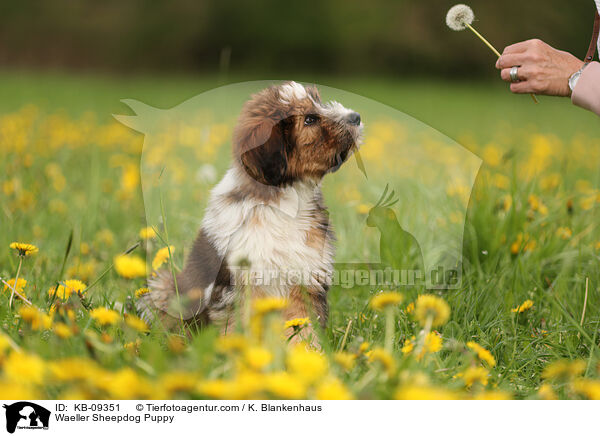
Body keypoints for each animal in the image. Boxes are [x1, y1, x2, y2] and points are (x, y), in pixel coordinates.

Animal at [139, 80, 364, 342]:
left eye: (319, 102)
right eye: (309, 119)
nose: (356, 117)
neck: (284, 202)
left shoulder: (304, 278)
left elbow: (303, 325)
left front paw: (308, 350)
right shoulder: (239, 286)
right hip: (166, 287)